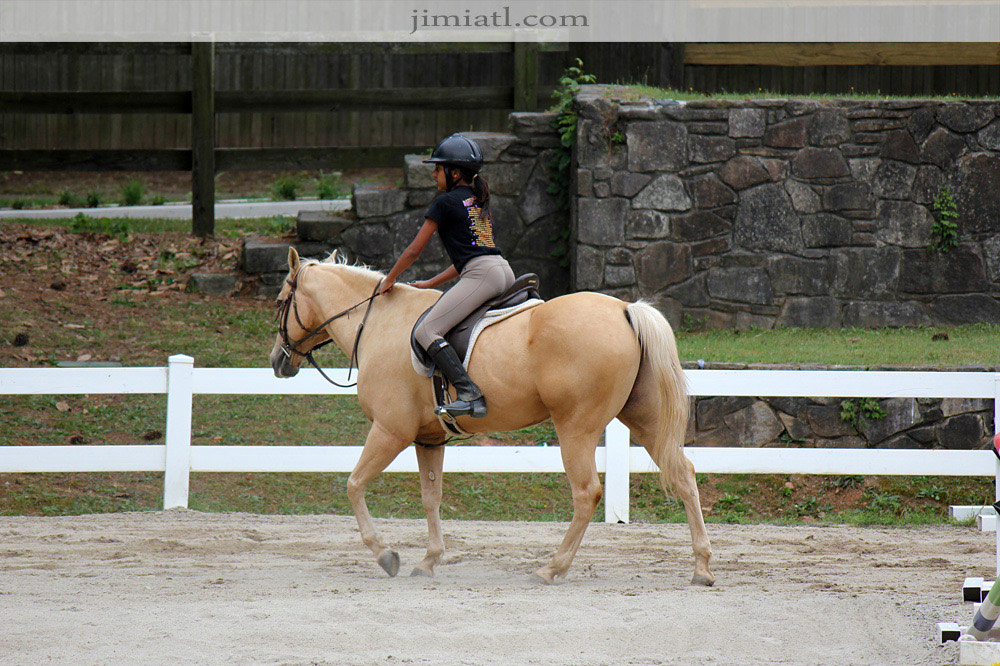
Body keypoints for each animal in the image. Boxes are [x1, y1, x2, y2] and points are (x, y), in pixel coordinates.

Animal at [270, 246, 716, 584]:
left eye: (279, 303)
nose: (278, 361)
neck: (379, 323)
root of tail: (625, 308)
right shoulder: (427, 438)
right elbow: (431, 498)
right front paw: (428, 560)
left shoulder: (390, 431)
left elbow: (354, 484)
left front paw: (385, 555)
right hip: (643, 419)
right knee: (683, 474)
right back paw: (701, 568)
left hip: (576, 428)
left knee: (587, 492)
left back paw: (552, 568)